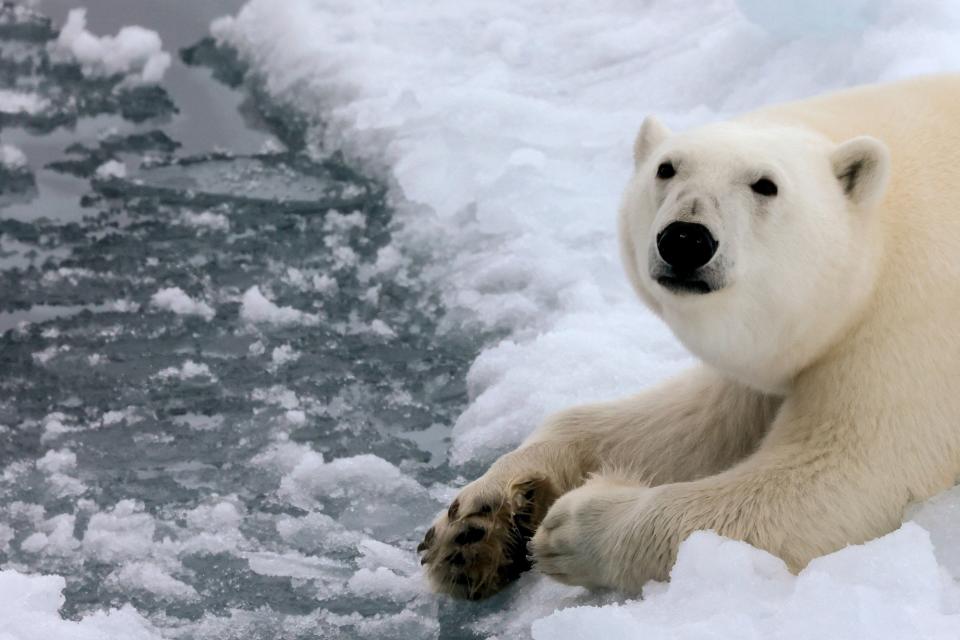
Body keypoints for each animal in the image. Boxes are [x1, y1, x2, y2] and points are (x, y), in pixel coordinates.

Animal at [416, 75, 960, 600]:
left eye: (766, 184)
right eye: (667, 168)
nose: (686, 239)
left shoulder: (912, 325)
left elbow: (839, 480)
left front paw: (576, 527)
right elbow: (690, 422)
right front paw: (475, 527)